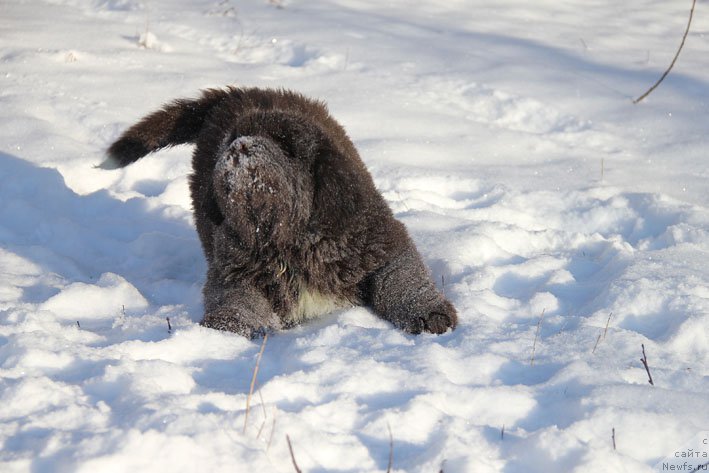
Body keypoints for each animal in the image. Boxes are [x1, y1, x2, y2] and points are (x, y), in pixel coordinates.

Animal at [101, 85, 460, 336]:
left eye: (285, 143)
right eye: (235, 136)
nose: (239, 146)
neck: (286, 239)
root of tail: (239, 92)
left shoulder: (376, 239)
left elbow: (402, 276)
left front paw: (430, 314)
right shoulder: (235, 268)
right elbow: (236, 300)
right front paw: (224, 330)